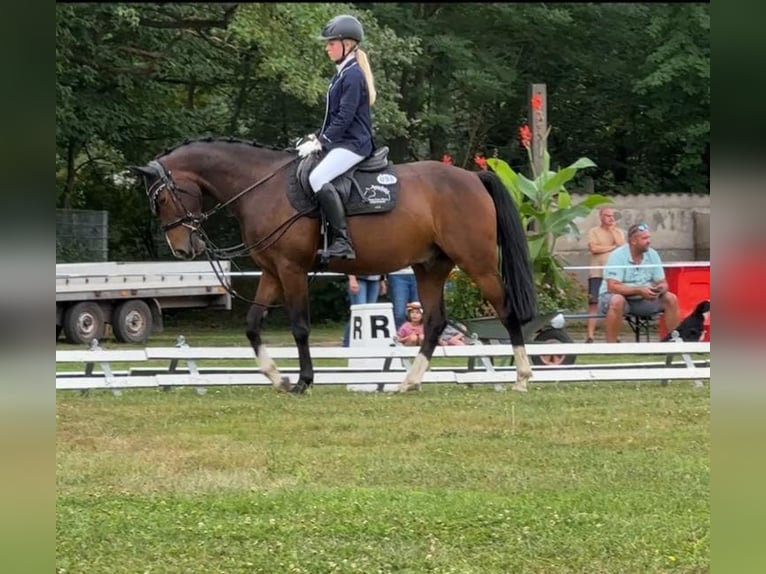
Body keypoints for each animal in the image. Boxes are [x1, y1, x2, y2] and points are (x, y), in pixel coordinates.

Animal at [129, 137, 536, 396]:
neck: (261, 186)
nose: (183, 248)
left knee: (506, 310)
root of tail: (472, 177)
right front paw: (276, 378)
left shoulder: (291, 270)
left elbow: (300, 327)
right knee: (435, 323)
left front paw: (303, 381)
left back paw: (521, 377)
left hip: (477, 263)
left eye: (161, 199)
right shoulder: (272, 272)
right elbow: (252, 325)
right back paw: (408, 383)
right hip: (430, 267)